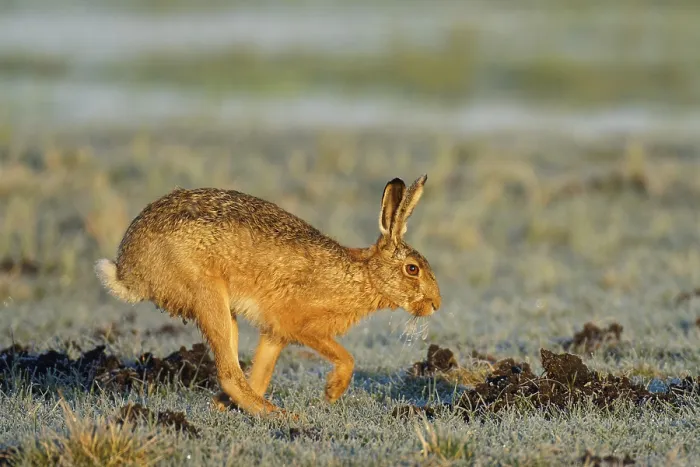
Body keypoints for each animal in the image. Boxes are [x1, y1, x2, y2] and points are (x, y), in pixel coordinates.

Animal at [95, 175, 441, 416]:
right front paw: (332, 392)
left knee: (239, 374)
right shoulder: (302, 326)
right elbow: (347, 358)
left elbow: (261, 373)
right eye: (412, 269)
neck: (365, 275)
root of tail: (130, 271)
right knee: (229, 373)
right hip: (207, 294)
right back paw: (284, 416)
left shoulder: (275, 334)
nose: (435, 304)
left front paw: (221, 405)